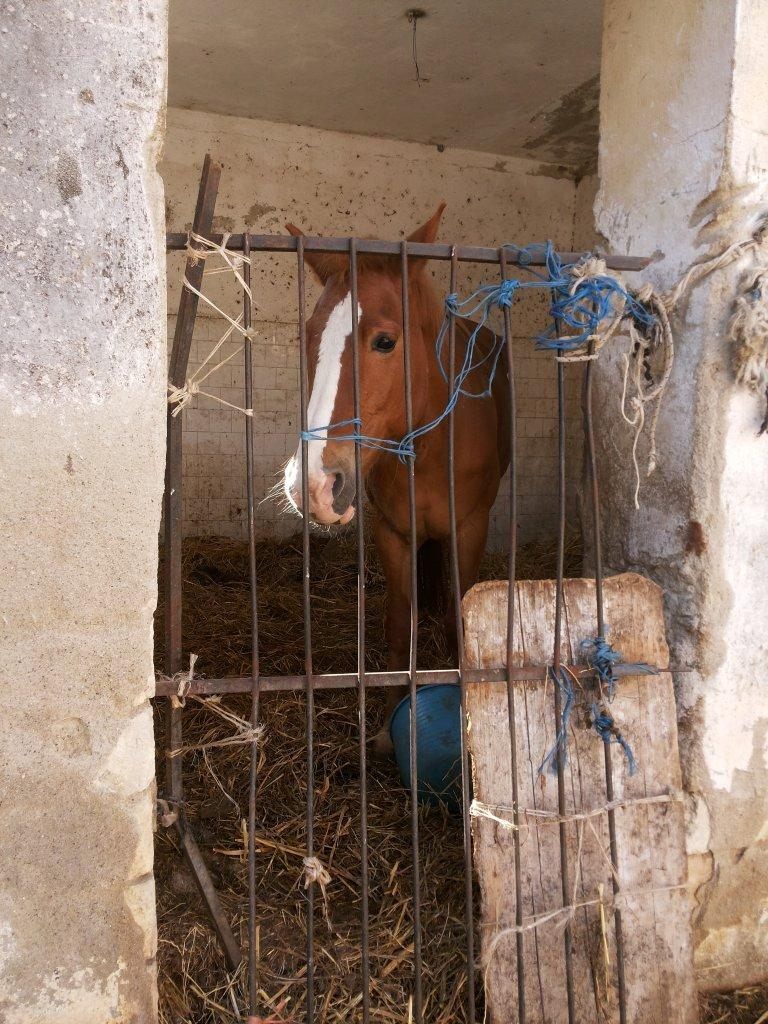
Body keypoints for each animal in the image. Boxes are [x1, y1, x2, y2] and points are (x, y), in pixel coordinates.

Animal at [282, 204, 510, 754]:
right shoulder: (393, 532)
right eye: (308, 337)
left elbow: (460, 623)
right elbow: (396, 628)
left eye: (385, 342)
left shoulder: (469, 530)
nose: (313, 486)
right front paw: (388, 728)